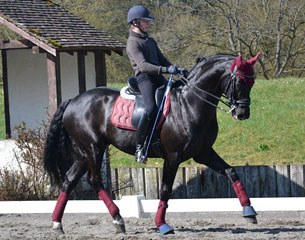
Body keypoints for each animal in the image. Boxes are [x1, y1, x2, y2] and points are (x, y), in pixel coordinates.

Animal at [43, 52, 258, 234]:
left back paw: (57, 224)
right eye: (240, 80)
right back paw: (118, 219)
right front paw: (162, 225)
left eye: (252, 82)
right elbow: (165, 189)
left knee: (69, 180)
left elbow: (231, 171)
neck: (189, 104)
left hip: (83, 153)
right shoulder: (173, 157)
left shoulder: (203, 152)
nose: (242, 114)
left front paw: (249, 211)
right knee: (94, 180)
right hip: (93, 148)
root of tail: (73, 100)